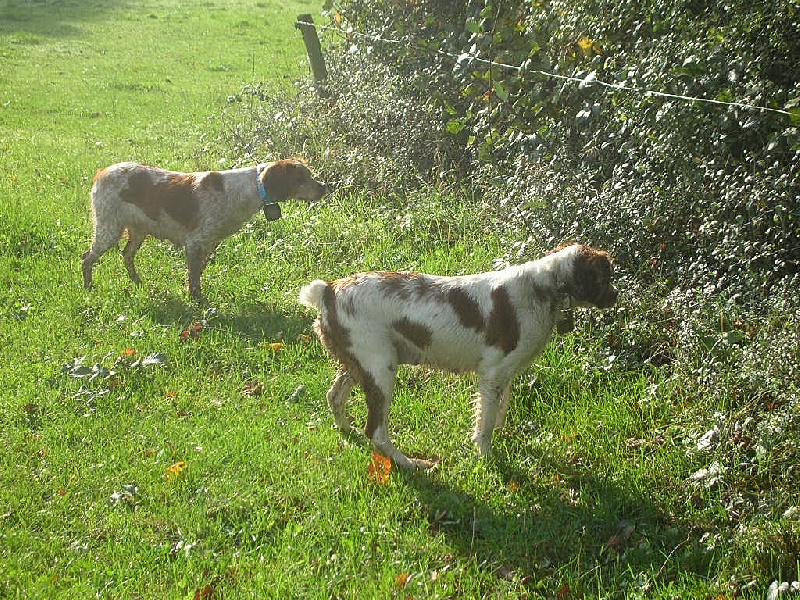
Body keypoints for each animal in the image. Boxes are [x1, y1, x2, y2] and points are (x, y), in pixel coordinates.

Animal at [83, 159, 326, 300]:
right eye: (301, 178)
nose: (325, 187)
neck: (248, 190)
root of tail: (102, 172)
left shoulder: (210, 243)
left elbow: (197, 272)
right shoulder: (195, 242)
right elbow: (194, 277)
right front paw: (197, 300)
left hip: (137, 230)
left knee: (126, 255)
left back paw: (138, 282)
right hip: (108, 229)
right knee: (87, 258)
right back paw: (88, 287)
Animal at [300, 243, 620, 468]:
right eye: (606, 277)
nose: (616, 295)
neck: (544, 287)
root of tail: (329, 290)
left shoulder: (505, 373)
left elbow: (498, 411)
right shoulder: (493, 372)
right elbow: (485, 424)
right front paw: (487, 455)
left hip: (357, 366)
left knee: (334, 396)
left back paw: (346, 429)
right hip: (381, 369)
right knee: (376, 431)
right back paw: (410, 462)